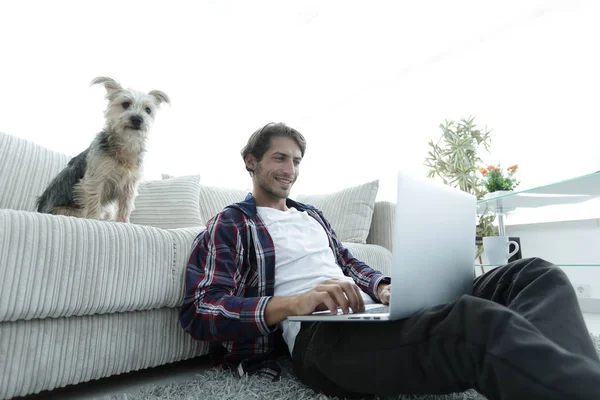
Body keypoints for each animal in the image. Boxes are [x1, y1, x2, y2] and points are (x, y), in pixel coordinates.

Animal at [36, 77, 170, 222]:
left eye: (148, 110)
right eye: (125, 104)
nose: (137, 119)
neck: (125, 145)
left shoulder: (129, 186)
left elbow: (125, 206)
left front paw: (123, 222)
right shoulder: (95, 180)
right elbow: (94, 201)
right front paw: (94, 219)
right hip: (69, 211)